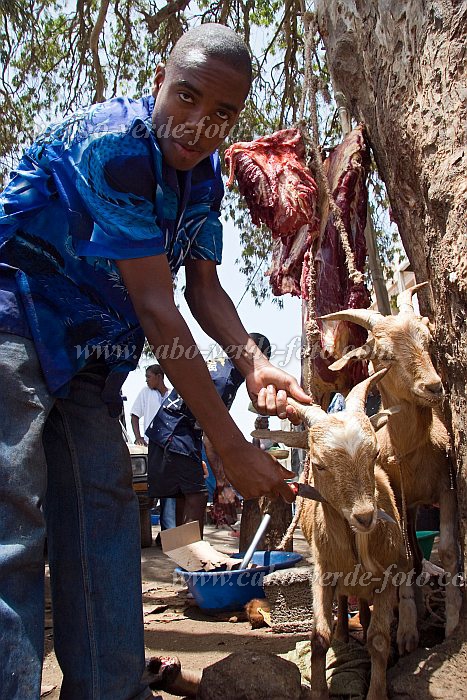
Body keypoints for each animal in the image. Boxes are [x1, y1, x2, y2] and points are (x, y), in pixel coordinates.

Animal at [254, 370, 408, 696]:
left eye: (375, 453)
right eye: (319, 464)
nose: (365, 516)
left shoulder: (389, 575)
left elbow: (378, 640)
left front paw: (376, 692)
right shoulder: (323, 575)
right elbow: (319, 638)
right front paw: (318, 690)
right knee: (344, 602)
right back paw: (343, 636)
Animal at [324, 280, 462, 652]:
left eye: (428, 342)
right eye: (384, 356)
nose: (434, 387)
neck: (412, 450)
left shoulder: (446, 484)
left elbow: (445, 550)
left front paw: (452, 624)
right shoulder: (395, 493)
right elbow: (405, 556)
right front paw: (407, 631)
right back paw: (343, 632)